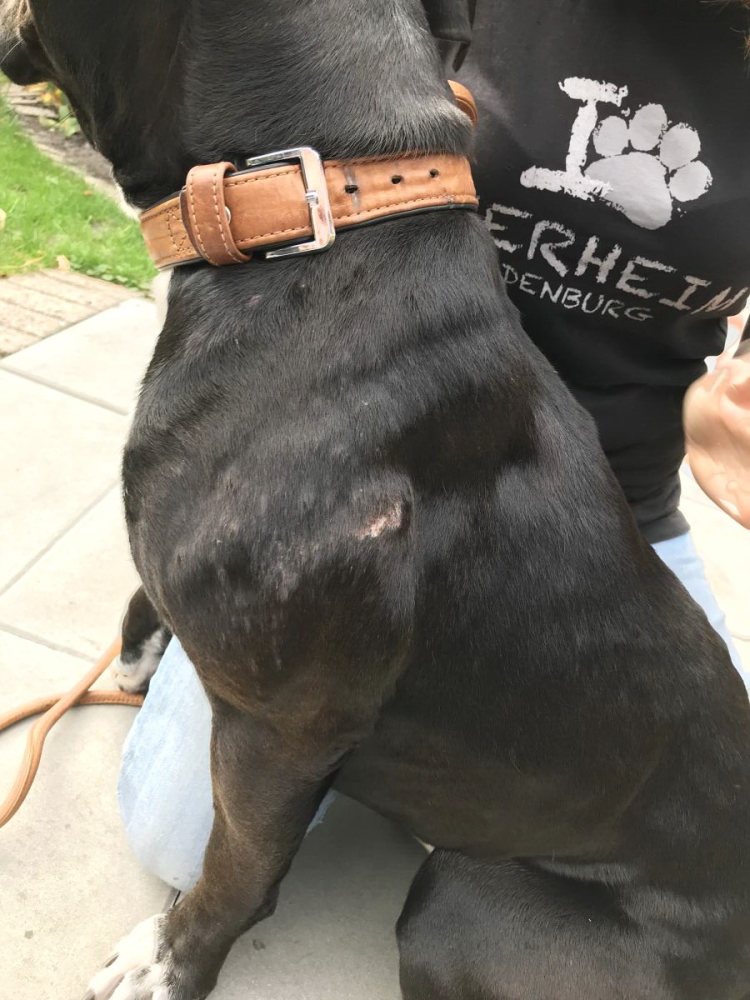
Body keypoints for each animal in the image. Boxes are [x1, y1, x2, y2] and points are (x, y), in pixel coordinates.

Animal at [3, 2, 750, 999]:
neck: (325, 206)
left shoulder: (281, 730)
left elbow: (238, 868)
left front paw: (172, 960)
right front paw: (140, 648)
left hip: (461, 903)